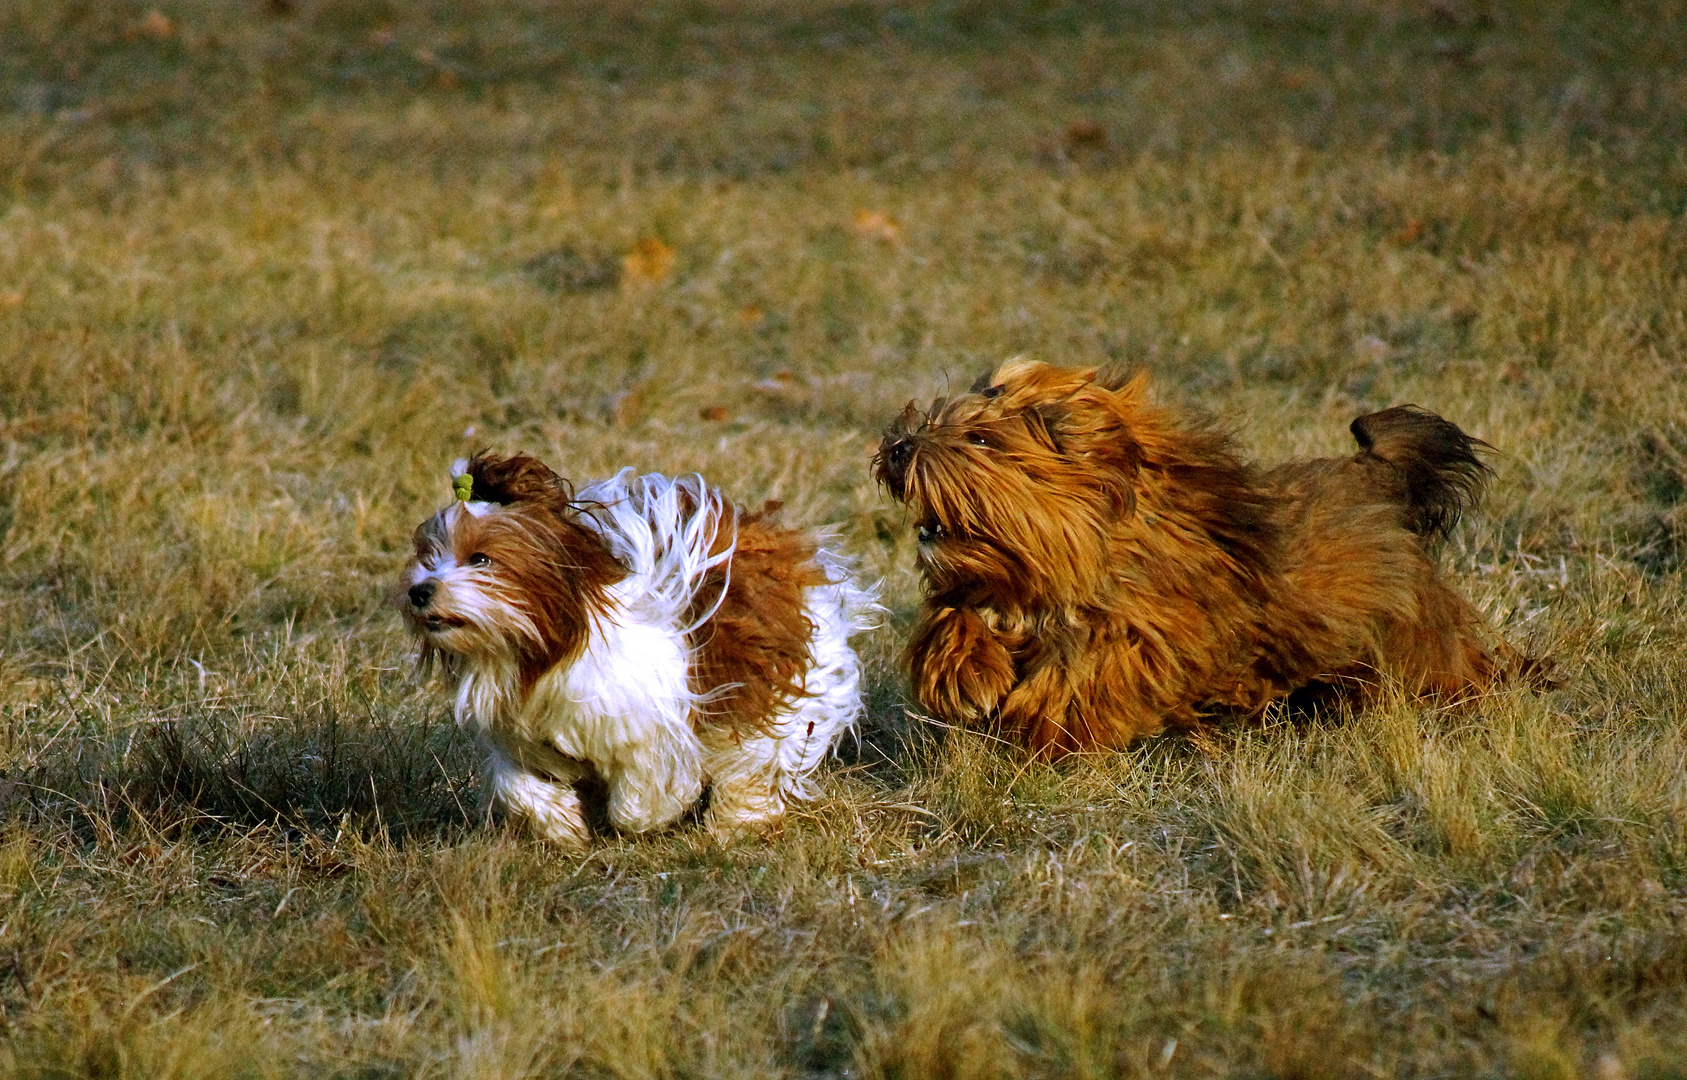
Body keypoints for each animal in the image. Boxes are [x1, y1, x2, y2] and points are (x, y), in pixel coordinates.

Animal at [399, 452, 877, 847]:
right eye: (428, 556)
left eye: (480, 559)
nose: (420, 591)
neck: (546, 651)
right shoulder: (520, 738)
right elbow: (516, 785)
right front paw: (563, 825)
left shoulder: (653, 728)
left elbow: (643, 792)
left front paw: (648, 815)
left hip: (782, 688)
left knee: (756, 757)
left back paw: (738, 820)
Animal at [877, 357, 1511, 756]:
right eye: (932, 420)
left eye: (981, 439)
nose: (898, 445)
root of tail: (1378, 477)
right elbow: (952, 617)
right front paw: (964, 677)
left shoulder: (1154, 630)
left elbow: (1085, 671)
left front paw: (1036, 721)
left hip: (1408, 642)